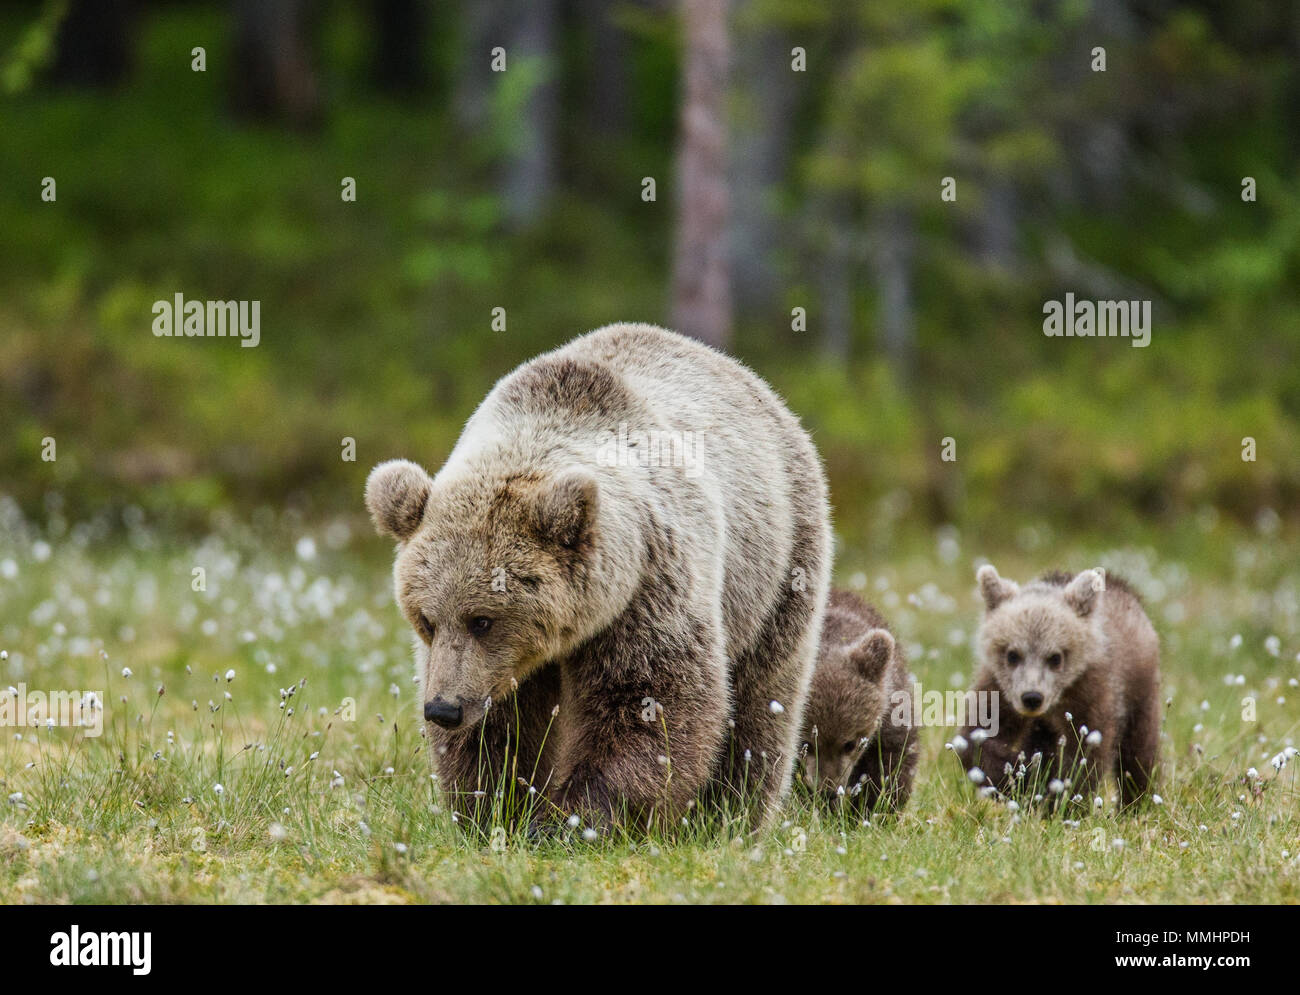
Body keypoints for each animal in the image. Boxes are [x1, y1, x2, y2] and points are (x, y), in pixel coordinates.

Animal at [364, 323, 832, 832]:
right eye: (426, 620)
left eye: (482, 620)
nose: (443, 709)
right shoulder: (494, 667)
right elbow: (502, 728)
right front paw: (495, 807)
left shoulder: (648, 585)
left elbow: (649, 700)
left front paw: (576, 819)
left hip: (777, 563)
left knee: (762, 697)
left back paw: (729, 814)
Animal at [797, 590, 919, 815]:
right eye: (806, 744)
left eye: (850, 744)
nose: (828, 792)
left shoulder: (890, 713)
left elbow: (891, 765)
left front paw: (873, 811)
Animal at [953, 565, 1161, 808]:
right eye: (1012, 654)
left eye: (1055, 657)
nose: (1032, 697)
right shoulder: (999, 689)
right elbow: (976, 738)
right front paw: (1021, 776)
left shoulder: (1090, 693)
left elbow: (1083, 756)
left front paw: (1060, 802)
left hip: (1139, 689)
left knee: (1138, 750)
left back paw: (1136, 802)